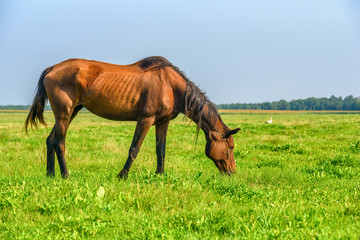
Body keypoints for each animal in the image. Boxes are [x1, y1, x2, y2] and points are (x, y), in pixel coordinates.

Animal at [24, 56, 239, 178]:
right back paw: (66, 175)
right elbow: (134, 149)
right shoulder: (145, 119)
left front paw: (160, 175)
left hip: (72, 112)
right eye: (230, 147)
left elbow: (161, 150)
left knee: (50, 140)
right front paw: (122, 175)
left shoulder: (162, 122)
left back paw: (50, 174)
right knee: (59, 143)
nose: (232, 172)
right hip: (64, 113)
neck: (170, 85)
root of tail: (52, 69)